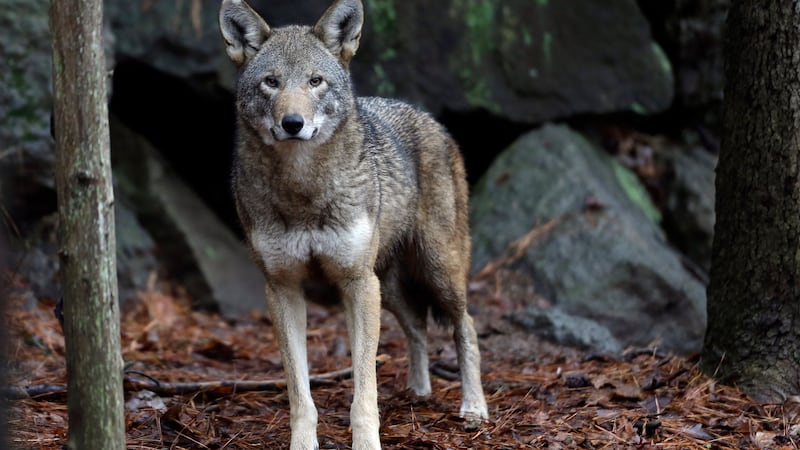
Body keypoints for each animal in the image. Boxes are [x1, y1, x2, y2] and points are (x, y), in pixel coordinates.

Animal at [219, 0, 488, 448]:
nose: (293, 123)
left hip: (435, 272)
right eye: (271, 83)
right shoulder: (283, 288)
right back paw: (419, 391)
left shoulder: (356, 283)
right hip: (389, 287)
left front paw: (366, 442)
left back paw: (474, 407)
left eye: (315, 81)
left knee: (465, 326)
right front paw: (302, 443)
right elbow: (300, 393)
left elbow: (365, 389)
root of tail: (430, 119)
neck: (303, 190)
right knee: (417, 328)